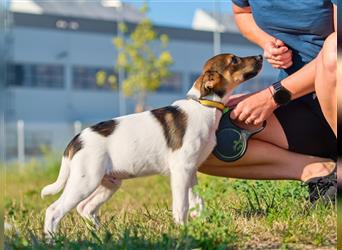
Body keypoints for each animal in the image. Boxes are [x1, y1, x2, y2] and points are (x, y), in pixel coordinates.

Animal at [41, 53, 264, 236]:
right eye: (234, 60)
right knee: (54, 210)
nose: (261, 56)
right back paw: (52, 240)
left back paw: (100, 234)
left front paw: (201, 224)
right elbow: (181, 205)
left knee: (85, 207)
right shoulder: (181, 171)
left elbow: (196, 202)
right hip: (85, 180)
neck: (204, 106)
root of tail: (76, 139)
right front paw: (183, 231)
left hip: (109, 182)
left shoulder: (190, 171)